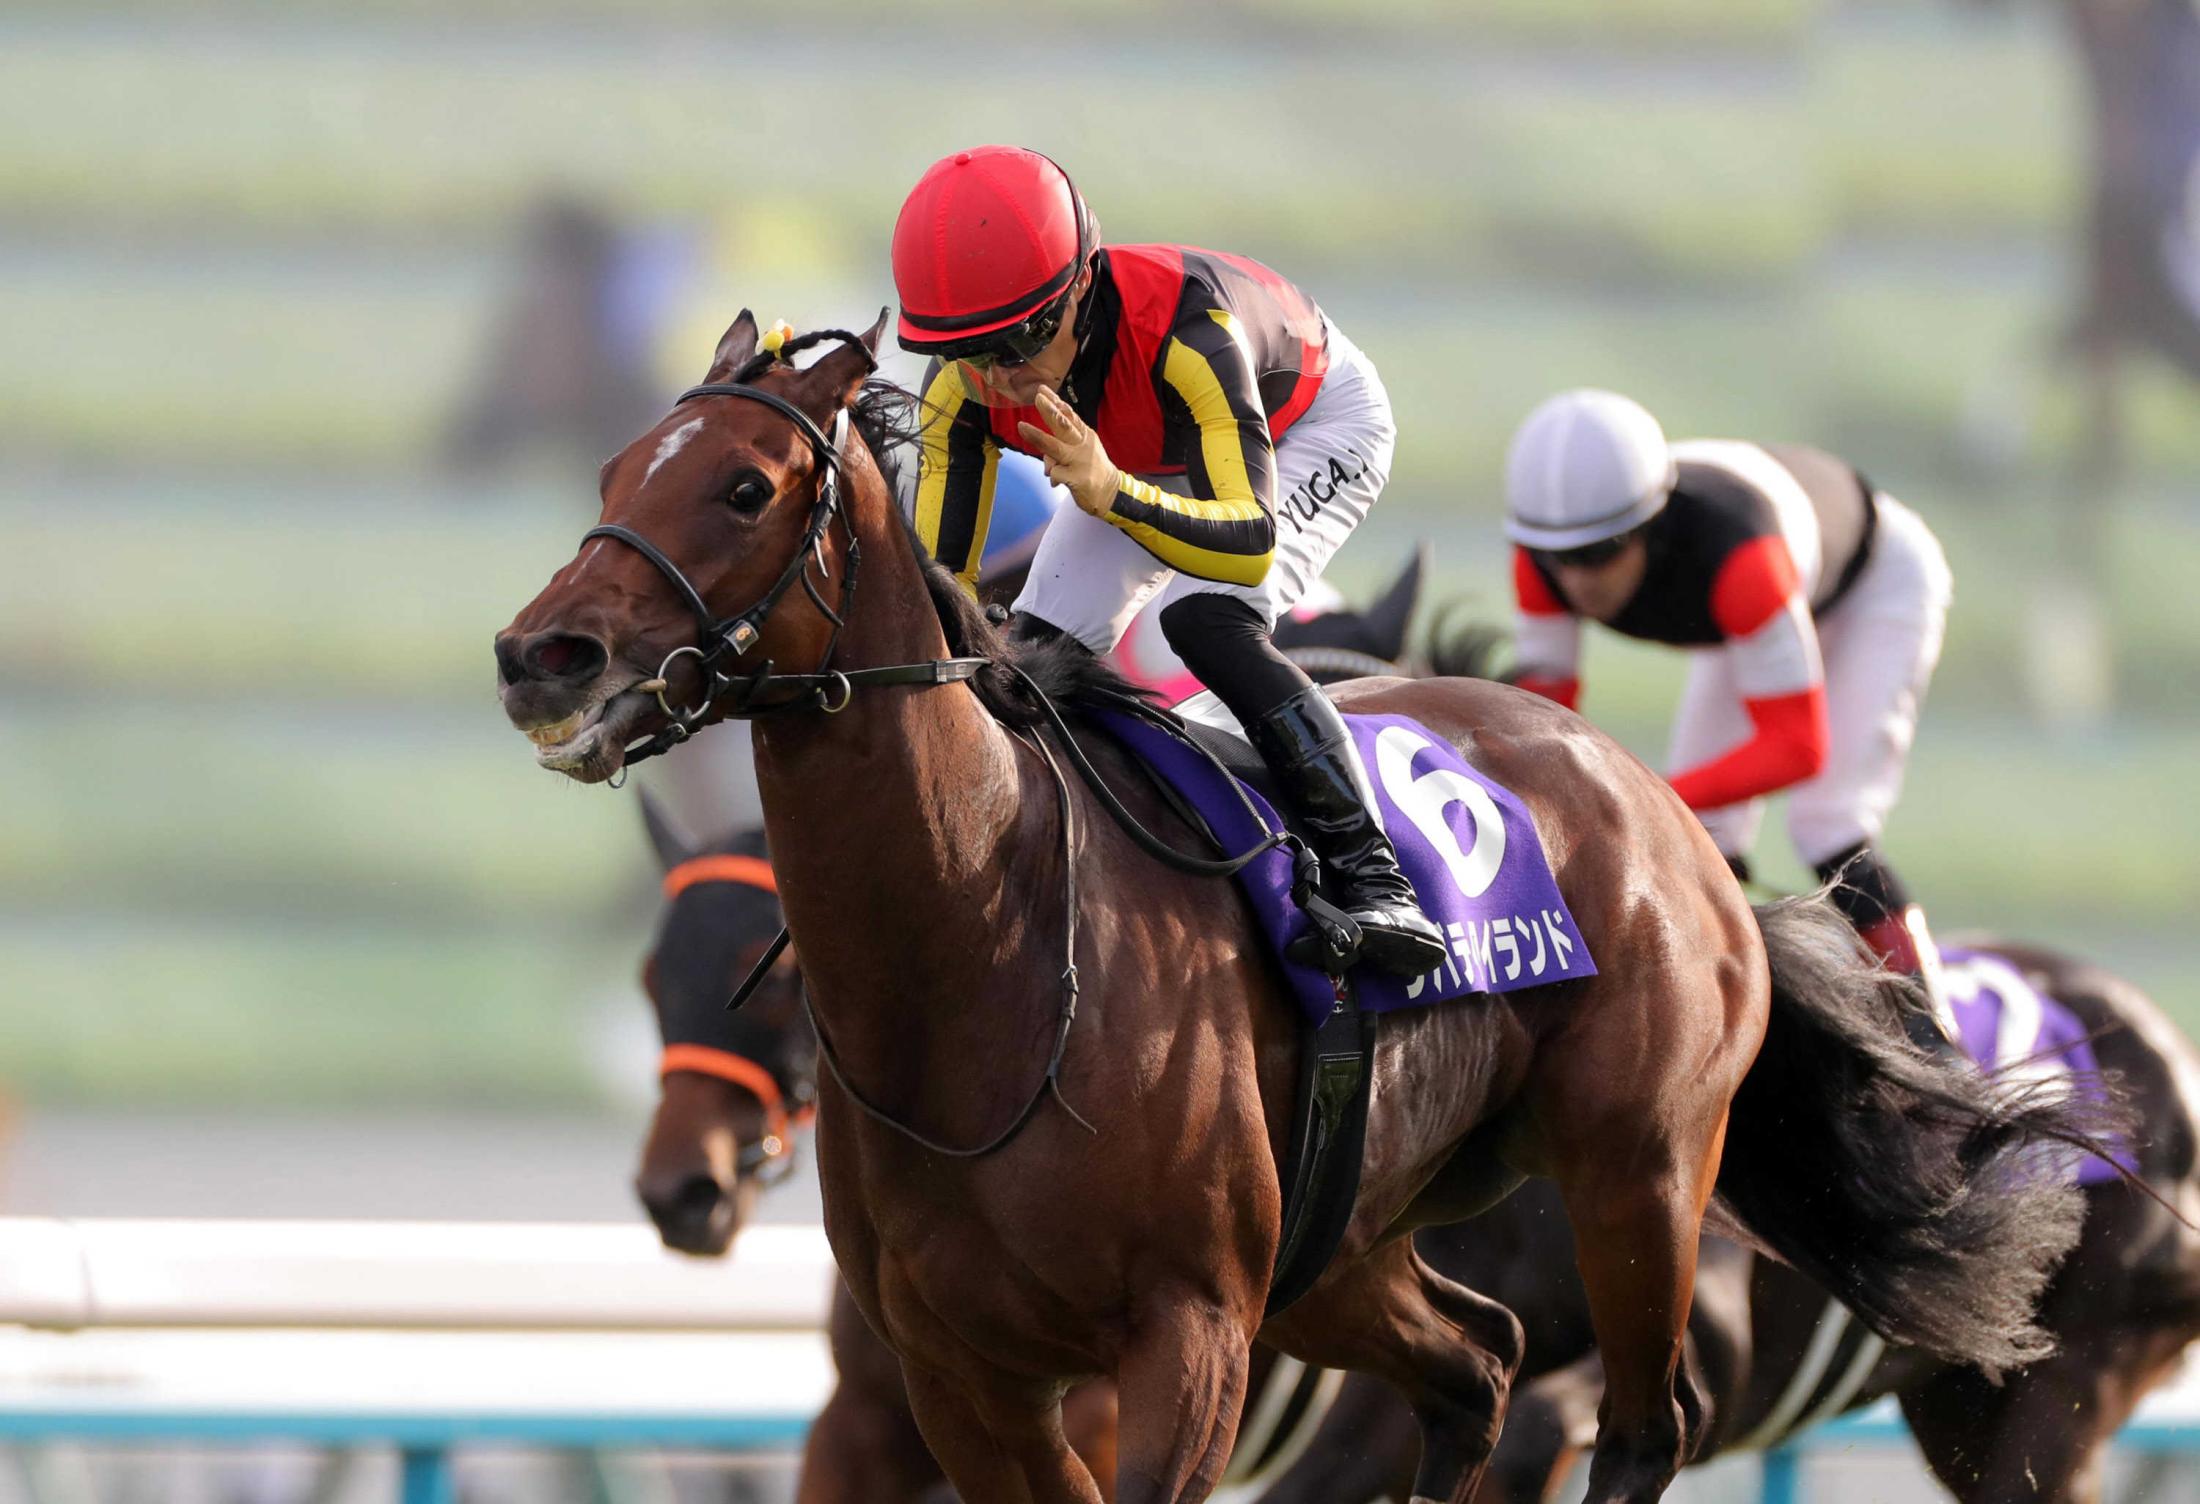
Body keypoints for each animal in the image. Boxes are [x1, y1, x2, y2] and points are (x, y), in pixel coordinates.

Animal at [498, 311, 2117, 1504]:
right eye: (613, 472)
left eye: (744, 485)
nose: (541, 656)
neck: (987, 962)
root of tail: (1655, 808)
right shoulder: (952, 1377)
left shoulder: (1183, 1344)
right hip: (1349, 1244)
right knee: (1474, 1365)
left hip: (1639, 1173)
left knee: (1640, 1423)